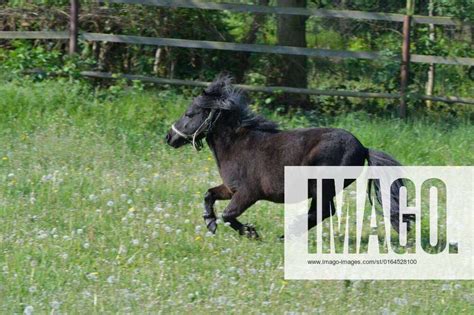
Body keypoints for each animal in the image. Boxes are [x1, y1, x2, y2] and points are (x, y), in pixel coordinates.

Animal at [166, 77, 404, 239]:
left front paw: (250, 232)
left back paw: (286, 234)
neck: (237, 146)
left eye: (189, 114)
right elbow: (209, 195)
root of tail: (362, 148)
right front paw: (210, 223)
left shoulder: (248, 193)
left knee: (323, 212)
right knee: (320, 212)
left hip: (322, 185)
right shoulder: (230, 188)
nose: (168, 137)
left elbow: (228, 214)